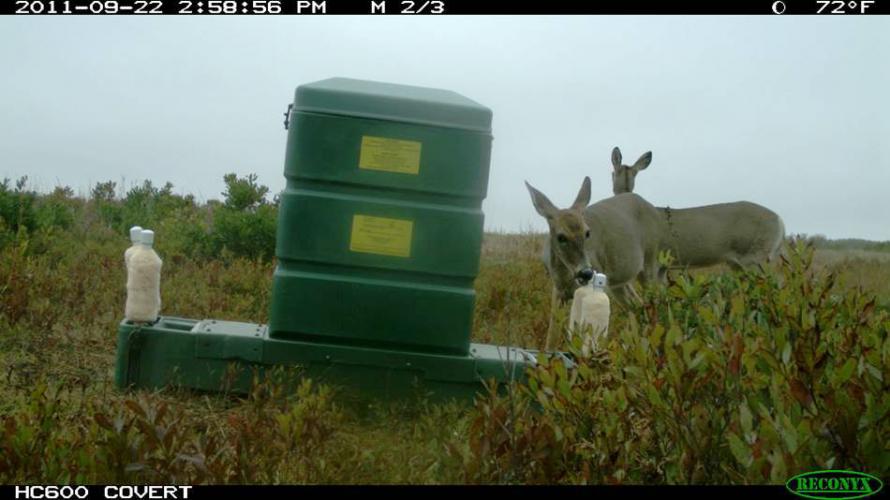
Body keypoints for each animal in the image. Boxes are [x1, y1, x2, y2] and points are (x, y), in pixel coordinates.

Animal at [524, 178, 664, 350]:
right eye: (561, 237)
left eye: (587, 232)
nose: (586, 273)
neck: (565, 277)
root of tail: (653, 208)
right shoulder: (557, 291)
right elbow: (552, 336)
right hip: (619, 281)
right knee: (636, 305)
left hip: (650, 260)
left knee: (652, 303)